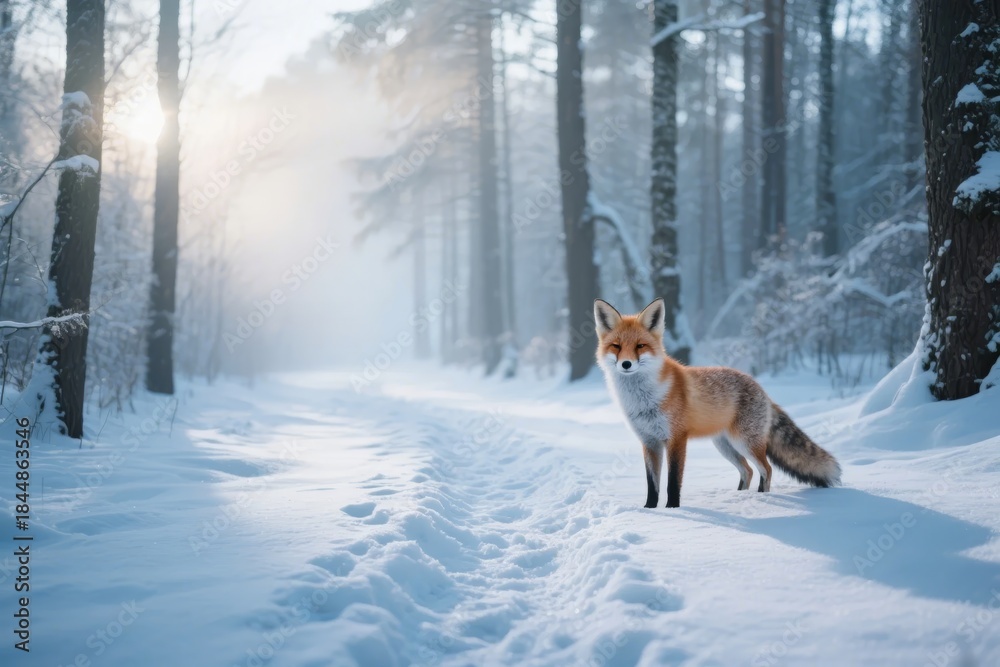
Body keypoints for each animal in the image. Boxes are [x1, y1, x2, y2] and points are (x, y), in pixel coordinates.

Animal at [594, 297, 841, 508]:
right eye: (616, 346)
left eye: (640, 346)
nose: (626, 364)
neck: (644, 400)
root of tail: (760, 387)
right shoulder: (649, 442)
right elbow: (651, 484)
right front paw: (649, 511)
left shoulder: (676, 438)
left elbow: (672, 482)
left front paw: (673, 509)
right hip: (725, 446)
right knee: (748, 471)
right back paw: (739, 496)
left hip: (745, 442)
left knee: (767, 469)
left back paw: (760, 499)